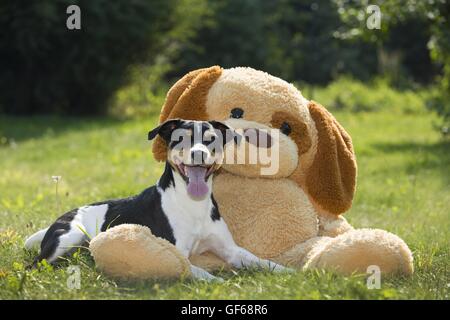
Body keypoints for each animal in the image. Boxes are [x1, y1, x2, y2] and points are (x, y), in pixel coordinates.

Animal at [25, 119, 292, 280]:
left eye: (211, 140)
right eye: (181, 139)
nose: (198, 154)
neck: (192, 203)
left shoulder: (231, 250)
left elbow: (263, 261)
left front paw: (293, 272)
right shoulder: (178, 253)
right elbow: (199, 272)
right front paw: (219, 283)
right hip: (67, 238)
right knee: (36, 264)